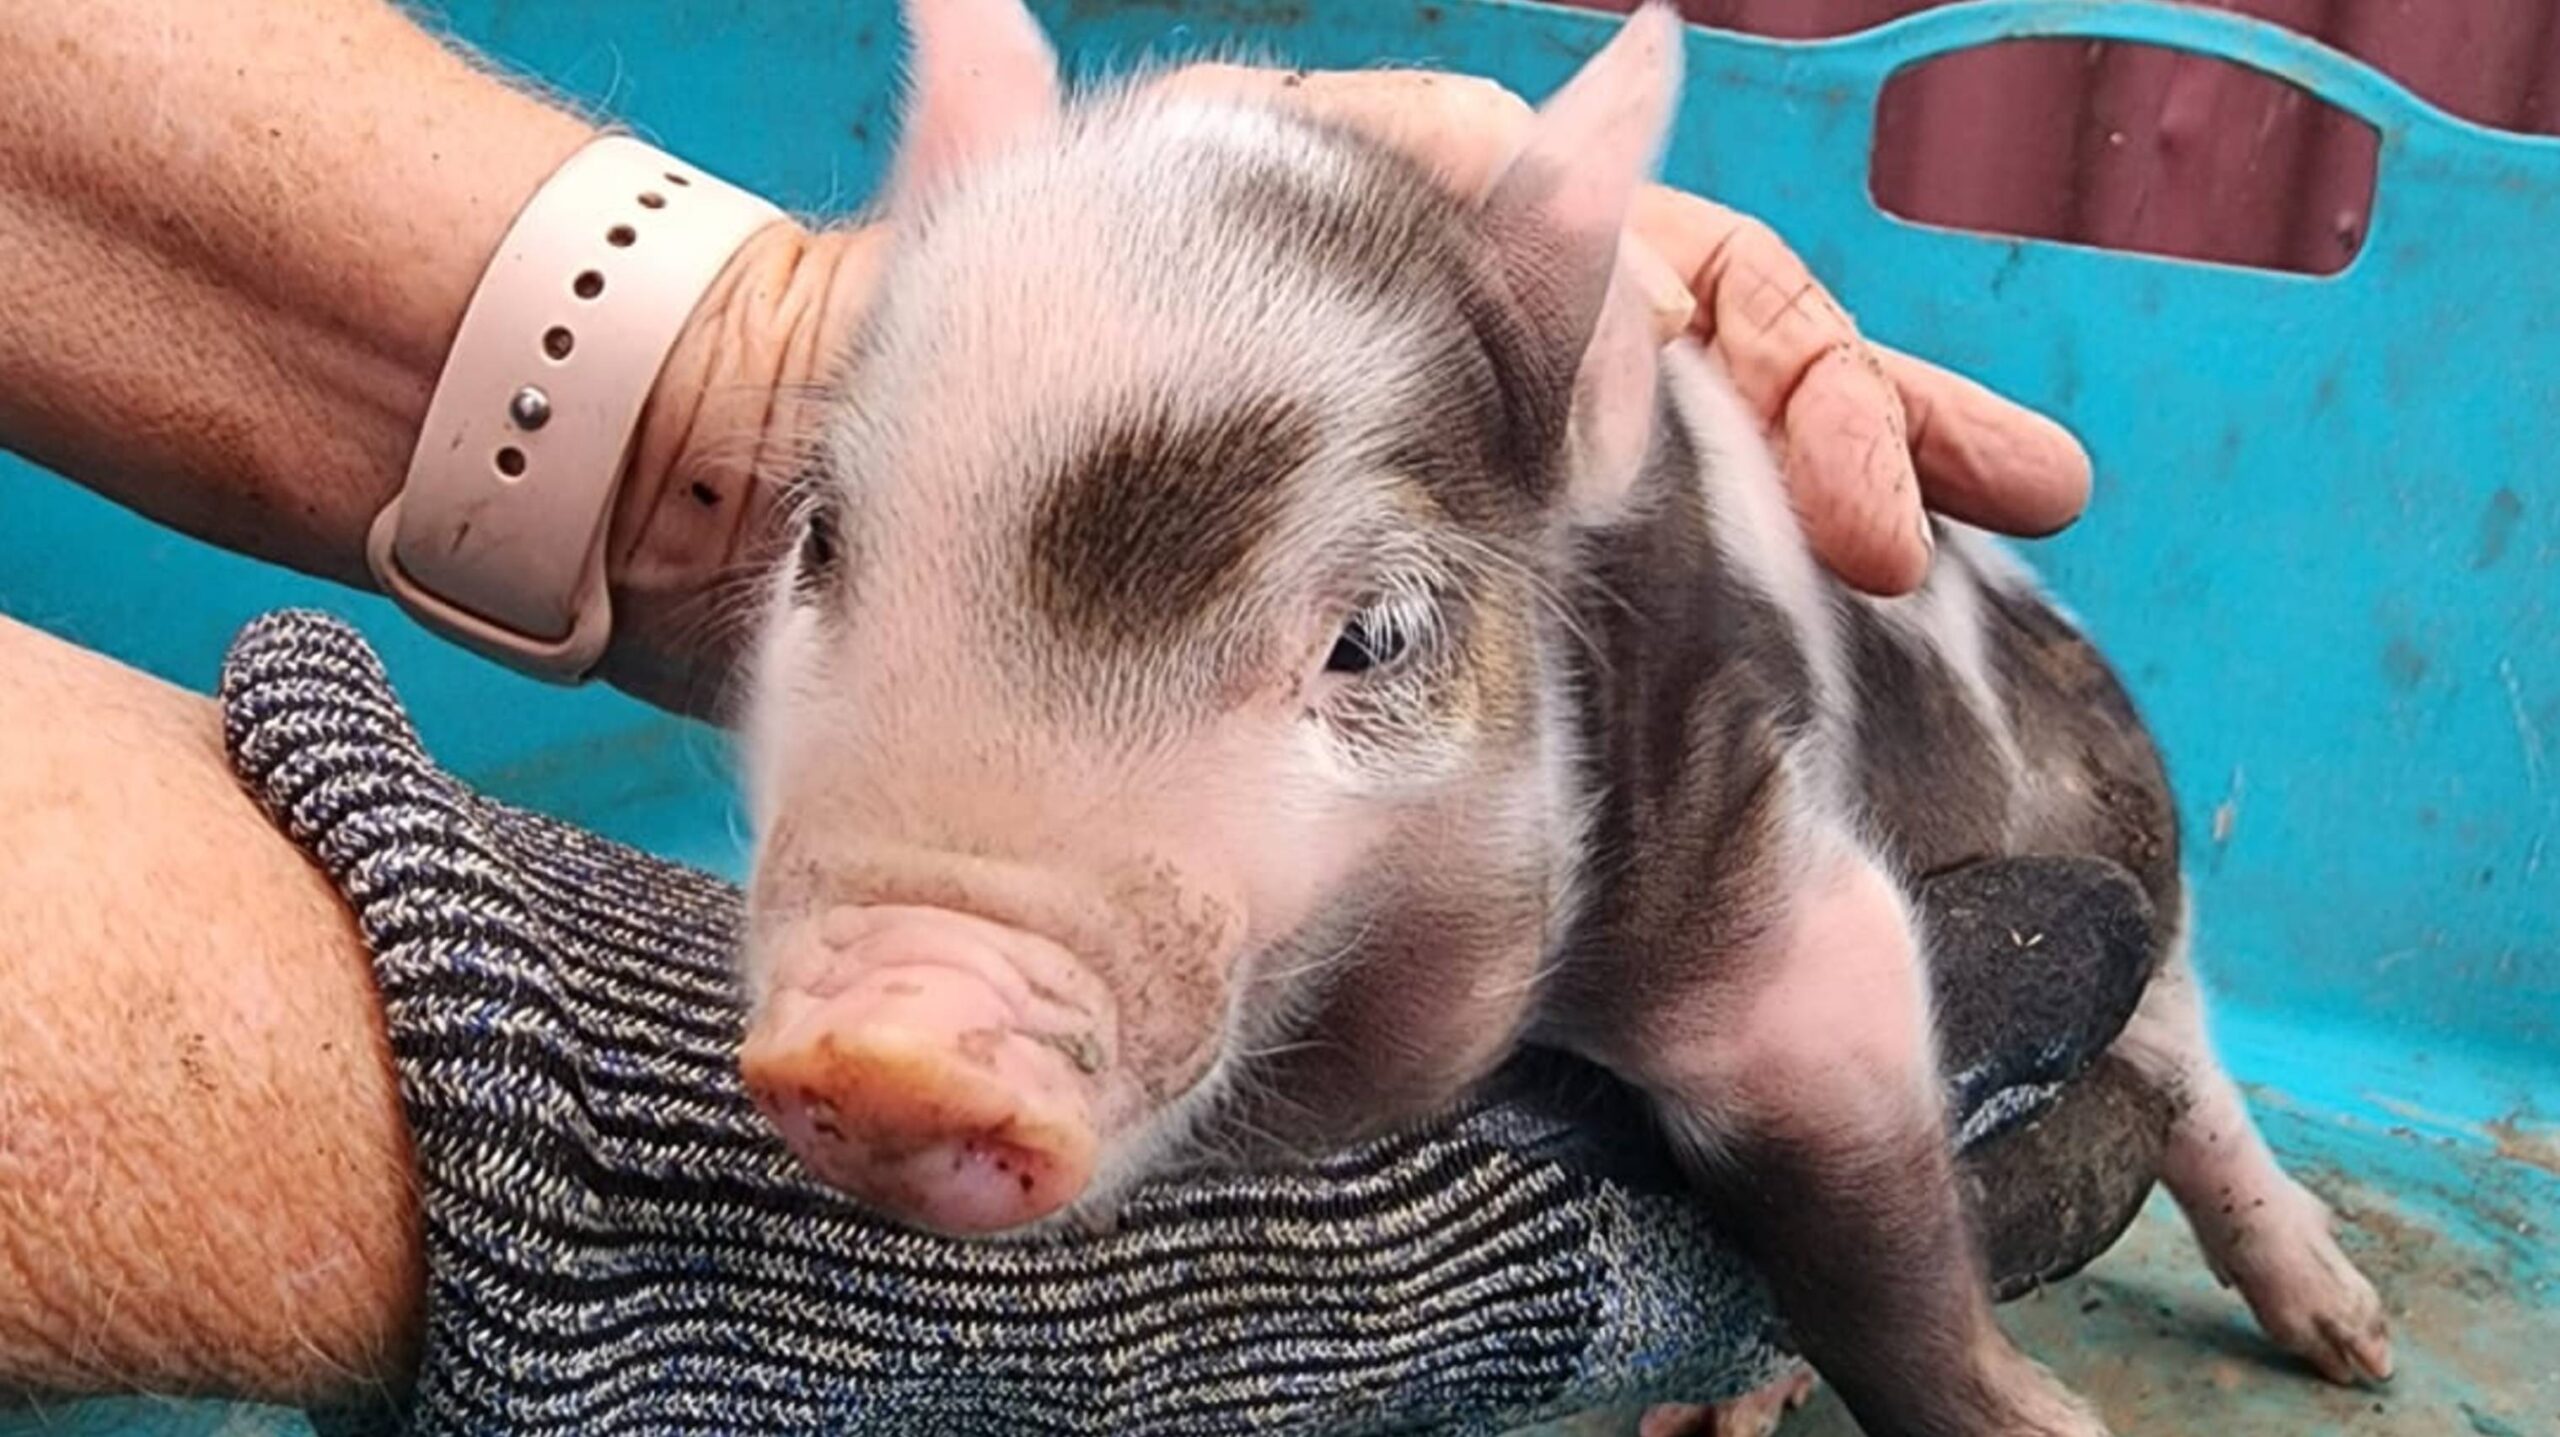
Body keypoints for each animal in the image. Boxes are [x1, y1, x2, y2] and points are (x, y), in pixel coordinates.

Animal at [732, 1, 2393, 1431]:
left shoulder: (1757, 869)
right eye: (821, 537)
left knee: (2197, 1084)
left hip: (2132, 875)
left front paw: (2043, 1423)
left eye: (1372, 637)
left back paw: (2348, 1340)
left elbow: (1862, 1238)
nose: (892, 1041)